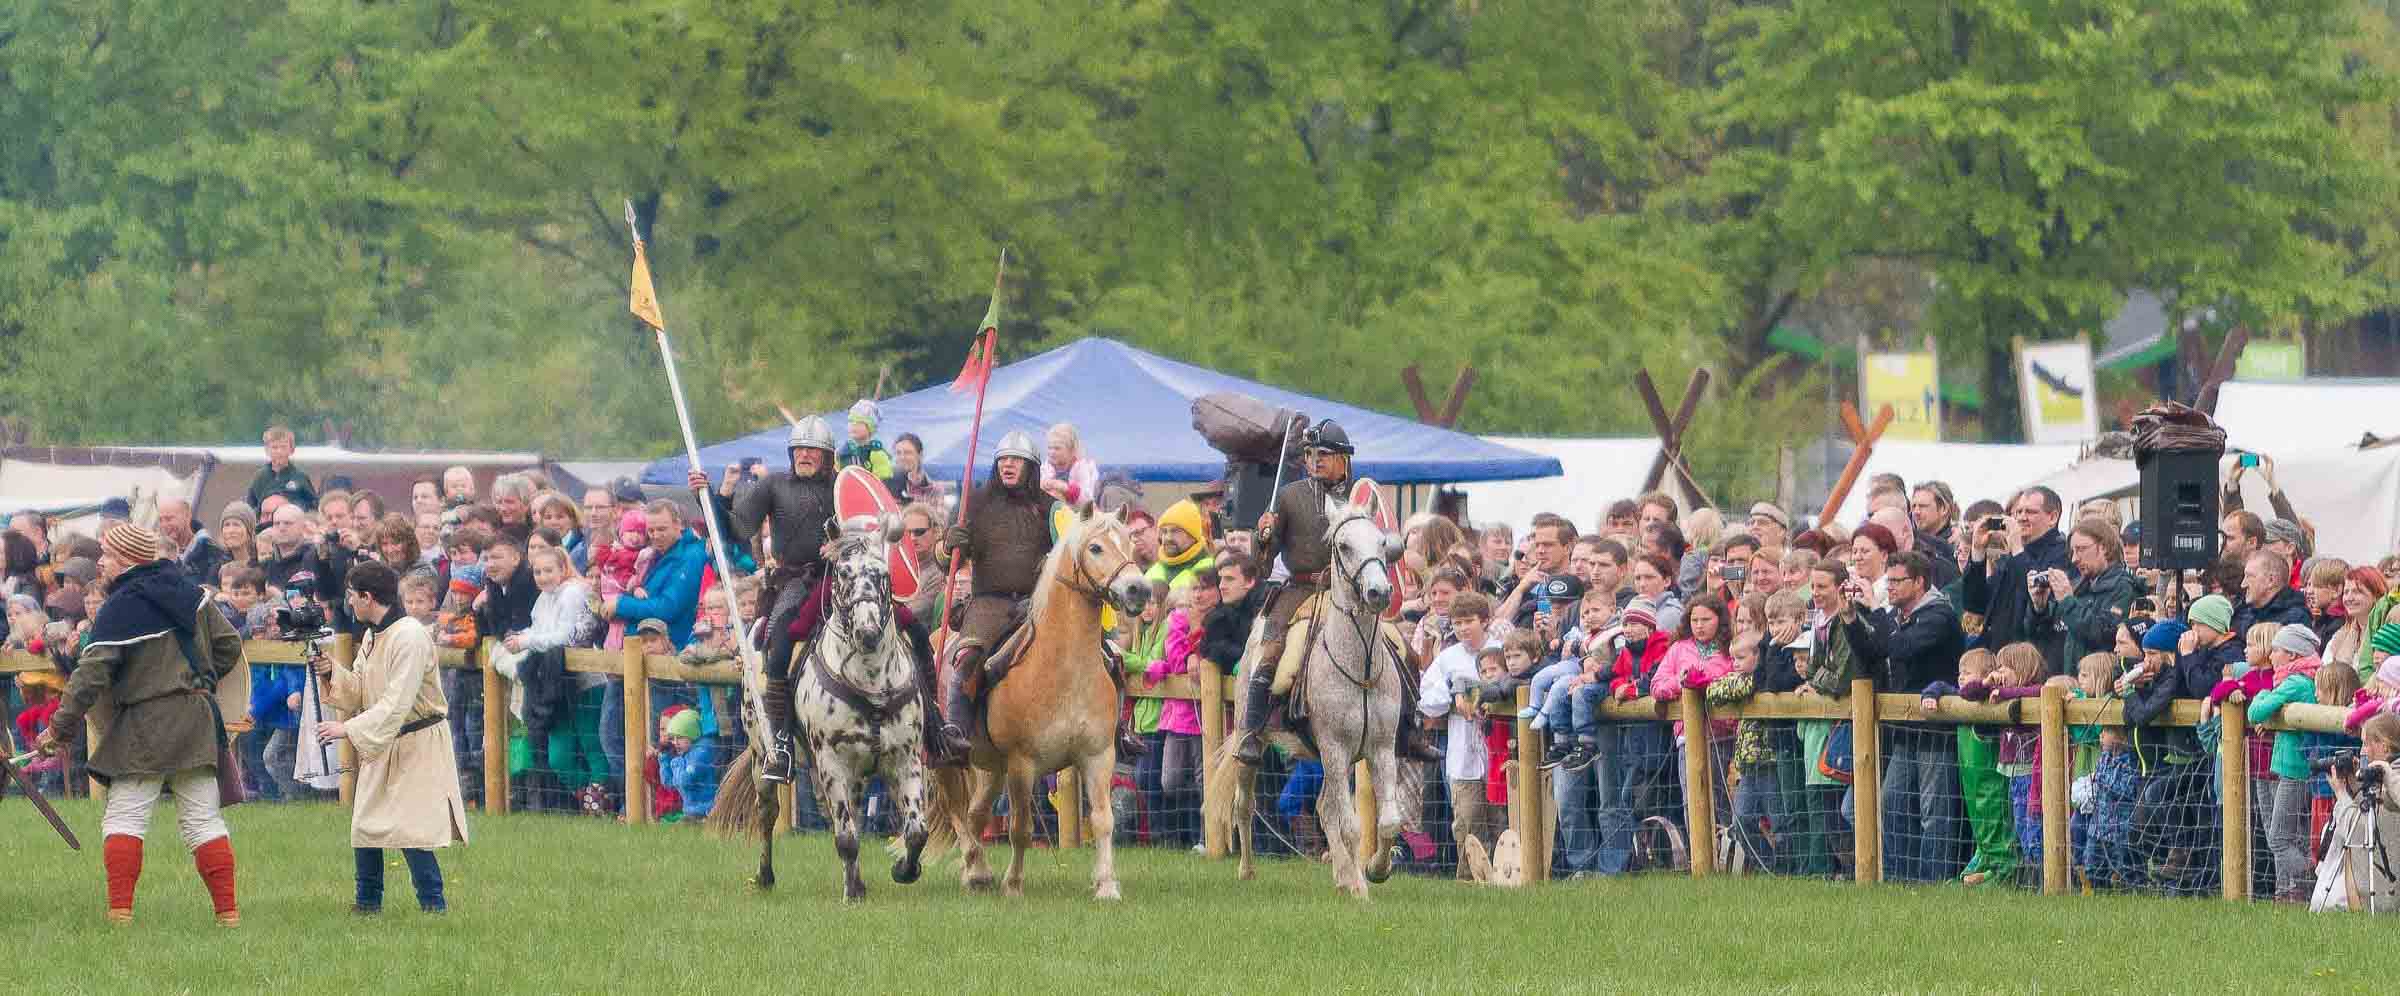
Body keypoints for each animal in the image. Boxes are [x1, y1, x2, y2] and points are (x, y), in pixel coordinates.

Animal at [700, 518, 926, 902]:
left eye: (882, 573)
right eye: (843, 573)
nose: (868, 633)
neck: (871, 681)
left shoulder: (905, 759)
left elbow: (916, 832)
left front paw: (903, 870)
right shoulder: (831, 762)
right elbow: (846, 837)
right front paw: (852, 894)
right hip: (762, 752)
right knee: (769, 812)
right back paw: (765, 876)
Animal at [907, 506, 1152, 902]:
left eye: (1130, 543)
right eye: (1096, 547)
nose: (1138, 589)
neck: (1064, 667)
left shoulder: (1098, 756)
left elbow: (1103, 820)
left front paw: (1106, 886)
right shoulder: (1022, 764)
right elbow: (1020, 827)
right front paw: (1013, 885)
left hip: (990, 767)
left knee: (975, 814)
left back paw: (975, 870)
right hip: (947, 761)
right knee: (957, 811)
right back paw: (977, 869)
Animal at [1200, 496, 1401, 897]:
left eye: (1382, 543)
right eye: (1344, 546)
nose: (1379, 593)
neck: (1360, 665)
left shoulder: (1380, 749)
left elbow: (1387, 821)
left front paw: (1375, 869)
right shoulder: (1336, 749)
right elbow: (1351, 826)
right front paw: (1361, 888)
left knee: (1324, 808)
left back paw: (1342, 875)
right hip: (1251, 742)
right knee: (1245, 805)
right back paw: (1247, 871)